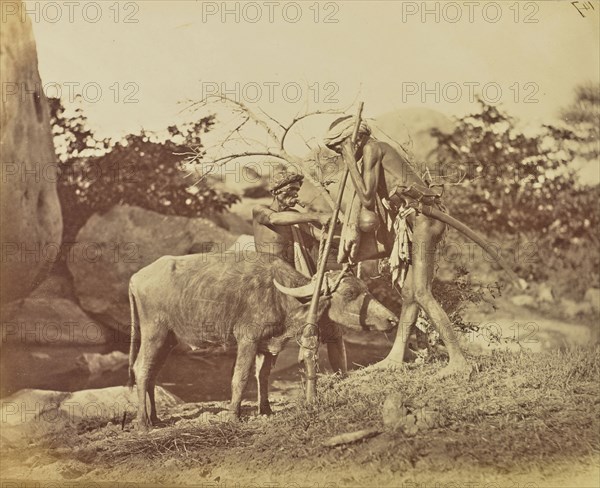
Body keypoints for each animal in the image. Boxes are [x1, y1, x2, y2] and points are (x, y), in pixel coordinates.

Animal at [128, 252, 396, 428]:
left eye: (366, 288)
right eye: (350, 292)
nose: (392, 319)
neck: (281, 296)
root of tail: (135, 277)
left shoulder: (268, 346)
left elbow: (263, 375)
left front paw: (265, 410)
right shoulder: (247, 339)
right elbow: (241, 377)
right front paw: (234, 415)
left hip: (169, 339)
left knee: (152, 372)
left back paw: (155, 418)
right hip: (154, 333)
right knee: (141, 368)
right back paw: (142, 423)